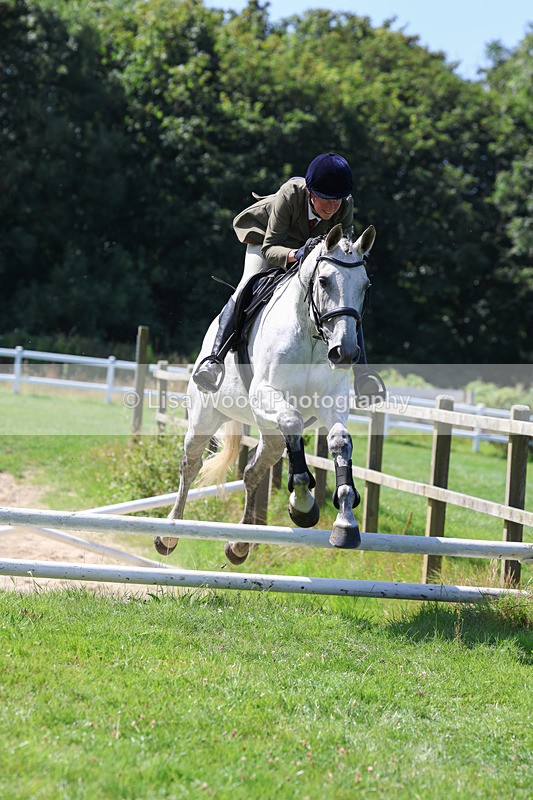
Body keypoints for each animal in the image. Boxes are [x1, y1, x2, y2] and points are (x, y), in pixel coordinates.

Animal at [154, 222, 376, 565]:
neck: (312, 336)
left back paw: (239, 546)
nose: (346, 353)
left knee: (252, 472)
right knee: (190, 465)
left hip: (269, 435)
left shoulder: (332, 401)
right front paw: (303, 505)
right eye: (324, 281)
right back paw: (169, 534)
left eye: (365, 286)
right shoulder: (265, 392)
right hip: (204, 419)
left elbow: (340, 441)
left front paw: (345, 523)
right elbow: (293, 420)